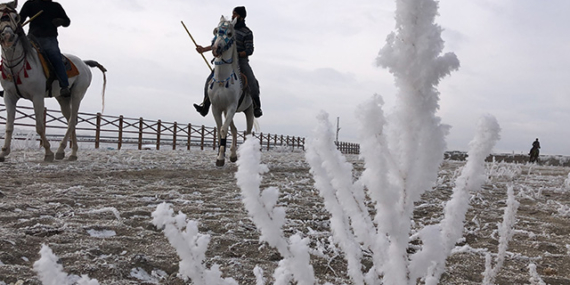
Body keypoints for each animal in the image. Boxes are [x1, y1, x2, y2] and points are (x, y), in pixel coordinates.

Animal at [0, 1, 106, 162]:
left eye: (15, 17)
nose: (7, 36)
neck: (17, 64)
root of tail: (84, 63)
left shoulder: (37, 97)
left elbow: (39, 126)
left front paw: (48, 152)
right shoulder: (9, 96)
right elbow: (9, 126)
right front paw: (4, 152)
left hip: (77, 94)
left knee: (71, 121)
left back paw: (61, 150)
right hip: (63, 98)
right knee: (71, 121)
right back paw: (72, 153)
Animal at [209, 15, 253, 165]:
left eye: (229, 34)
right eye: (216, 31)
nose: (216, 48)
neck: (222, 81)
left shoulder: (231, 107)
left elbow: (223, 130)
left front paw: (221, 158)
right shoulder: (217, 108)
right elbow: (220, 130)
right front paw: (220, 155)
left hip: (249, 111)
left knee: (248, 132)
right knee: (234, 130)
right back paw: (233, 155)